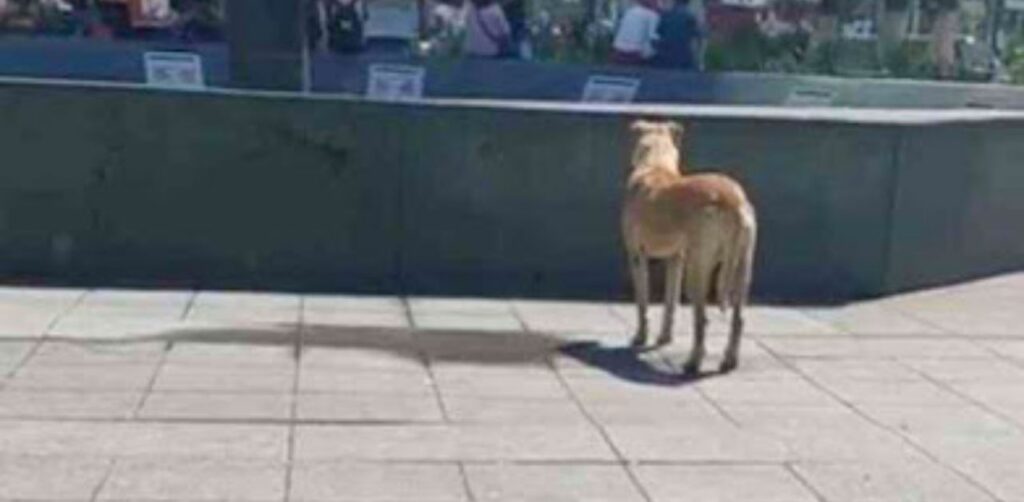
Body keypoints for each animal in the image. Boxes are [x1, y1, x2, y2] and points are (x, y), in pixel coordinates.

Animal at [618, 119, 757, 374]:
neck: (656, 165)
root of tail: (732, 200)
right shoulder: (677, 258)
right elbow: (670, 302)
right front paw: (664, 337)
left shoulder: (636, 255)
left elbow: (642, 302)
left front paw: (640, 337)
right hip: (743, 264)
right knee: (739, 318)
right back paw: (729, 360)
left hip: (699, 268)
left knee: (702, 319)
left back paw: (693, 361)